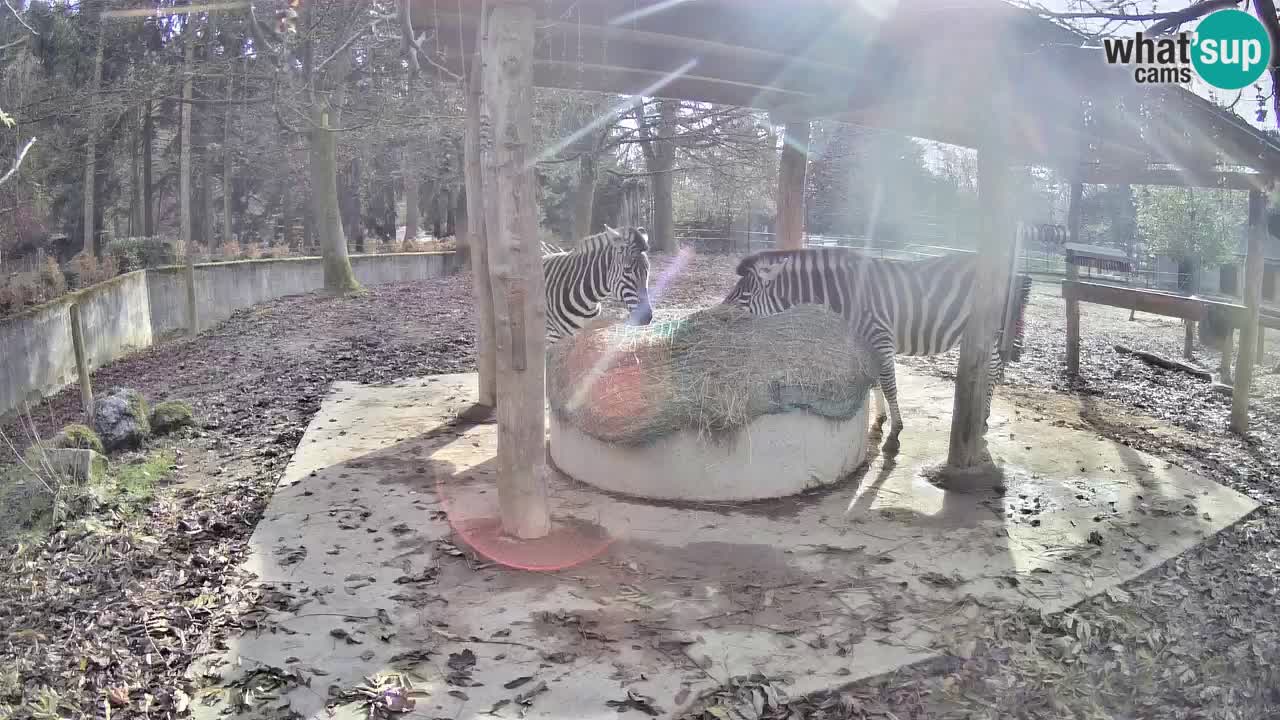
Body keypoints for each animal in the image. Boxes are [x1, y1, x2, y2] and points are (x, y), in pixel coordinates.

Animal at [727, 245, 1034, 448]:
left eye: (743, 295)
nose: (722, 319)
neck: (846, 295)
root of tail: (1012, 272)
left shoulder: (880, 337)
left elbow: (888, 384)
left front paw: (895, 432)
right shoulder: (865, 341)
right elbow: (875, 381)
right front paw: (879, 420)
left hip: (992, 333)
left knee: (993, 372)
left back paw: (983, 418)